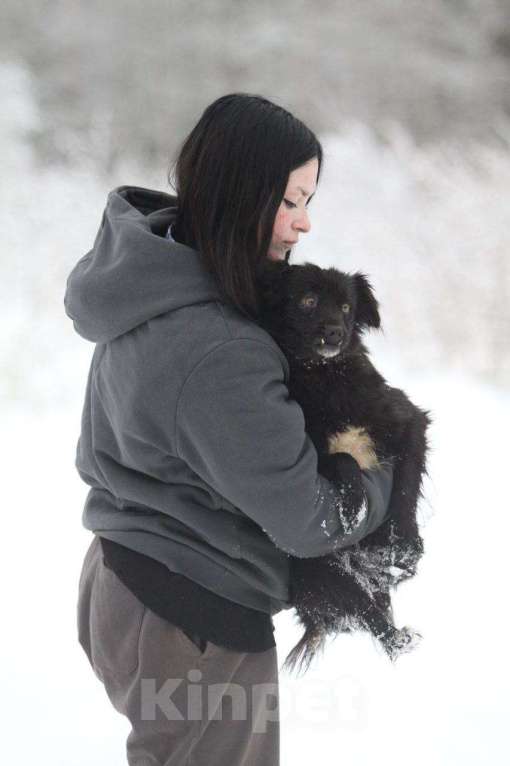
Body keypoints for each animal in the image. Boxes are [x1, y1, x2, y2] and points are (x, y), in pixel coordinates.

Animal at [255, 262, 430, 680]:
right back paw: (398, 638)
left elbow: (405, 487)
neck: (325, 375)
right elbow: (343, 460)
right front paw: (354, 507)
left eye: (348, 307)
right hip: (325, 572)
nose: (334, 331)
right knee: (368, 615)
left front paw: (405, 543)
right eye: (308, 300)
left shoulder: (409, 421)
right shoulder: (306, 446)